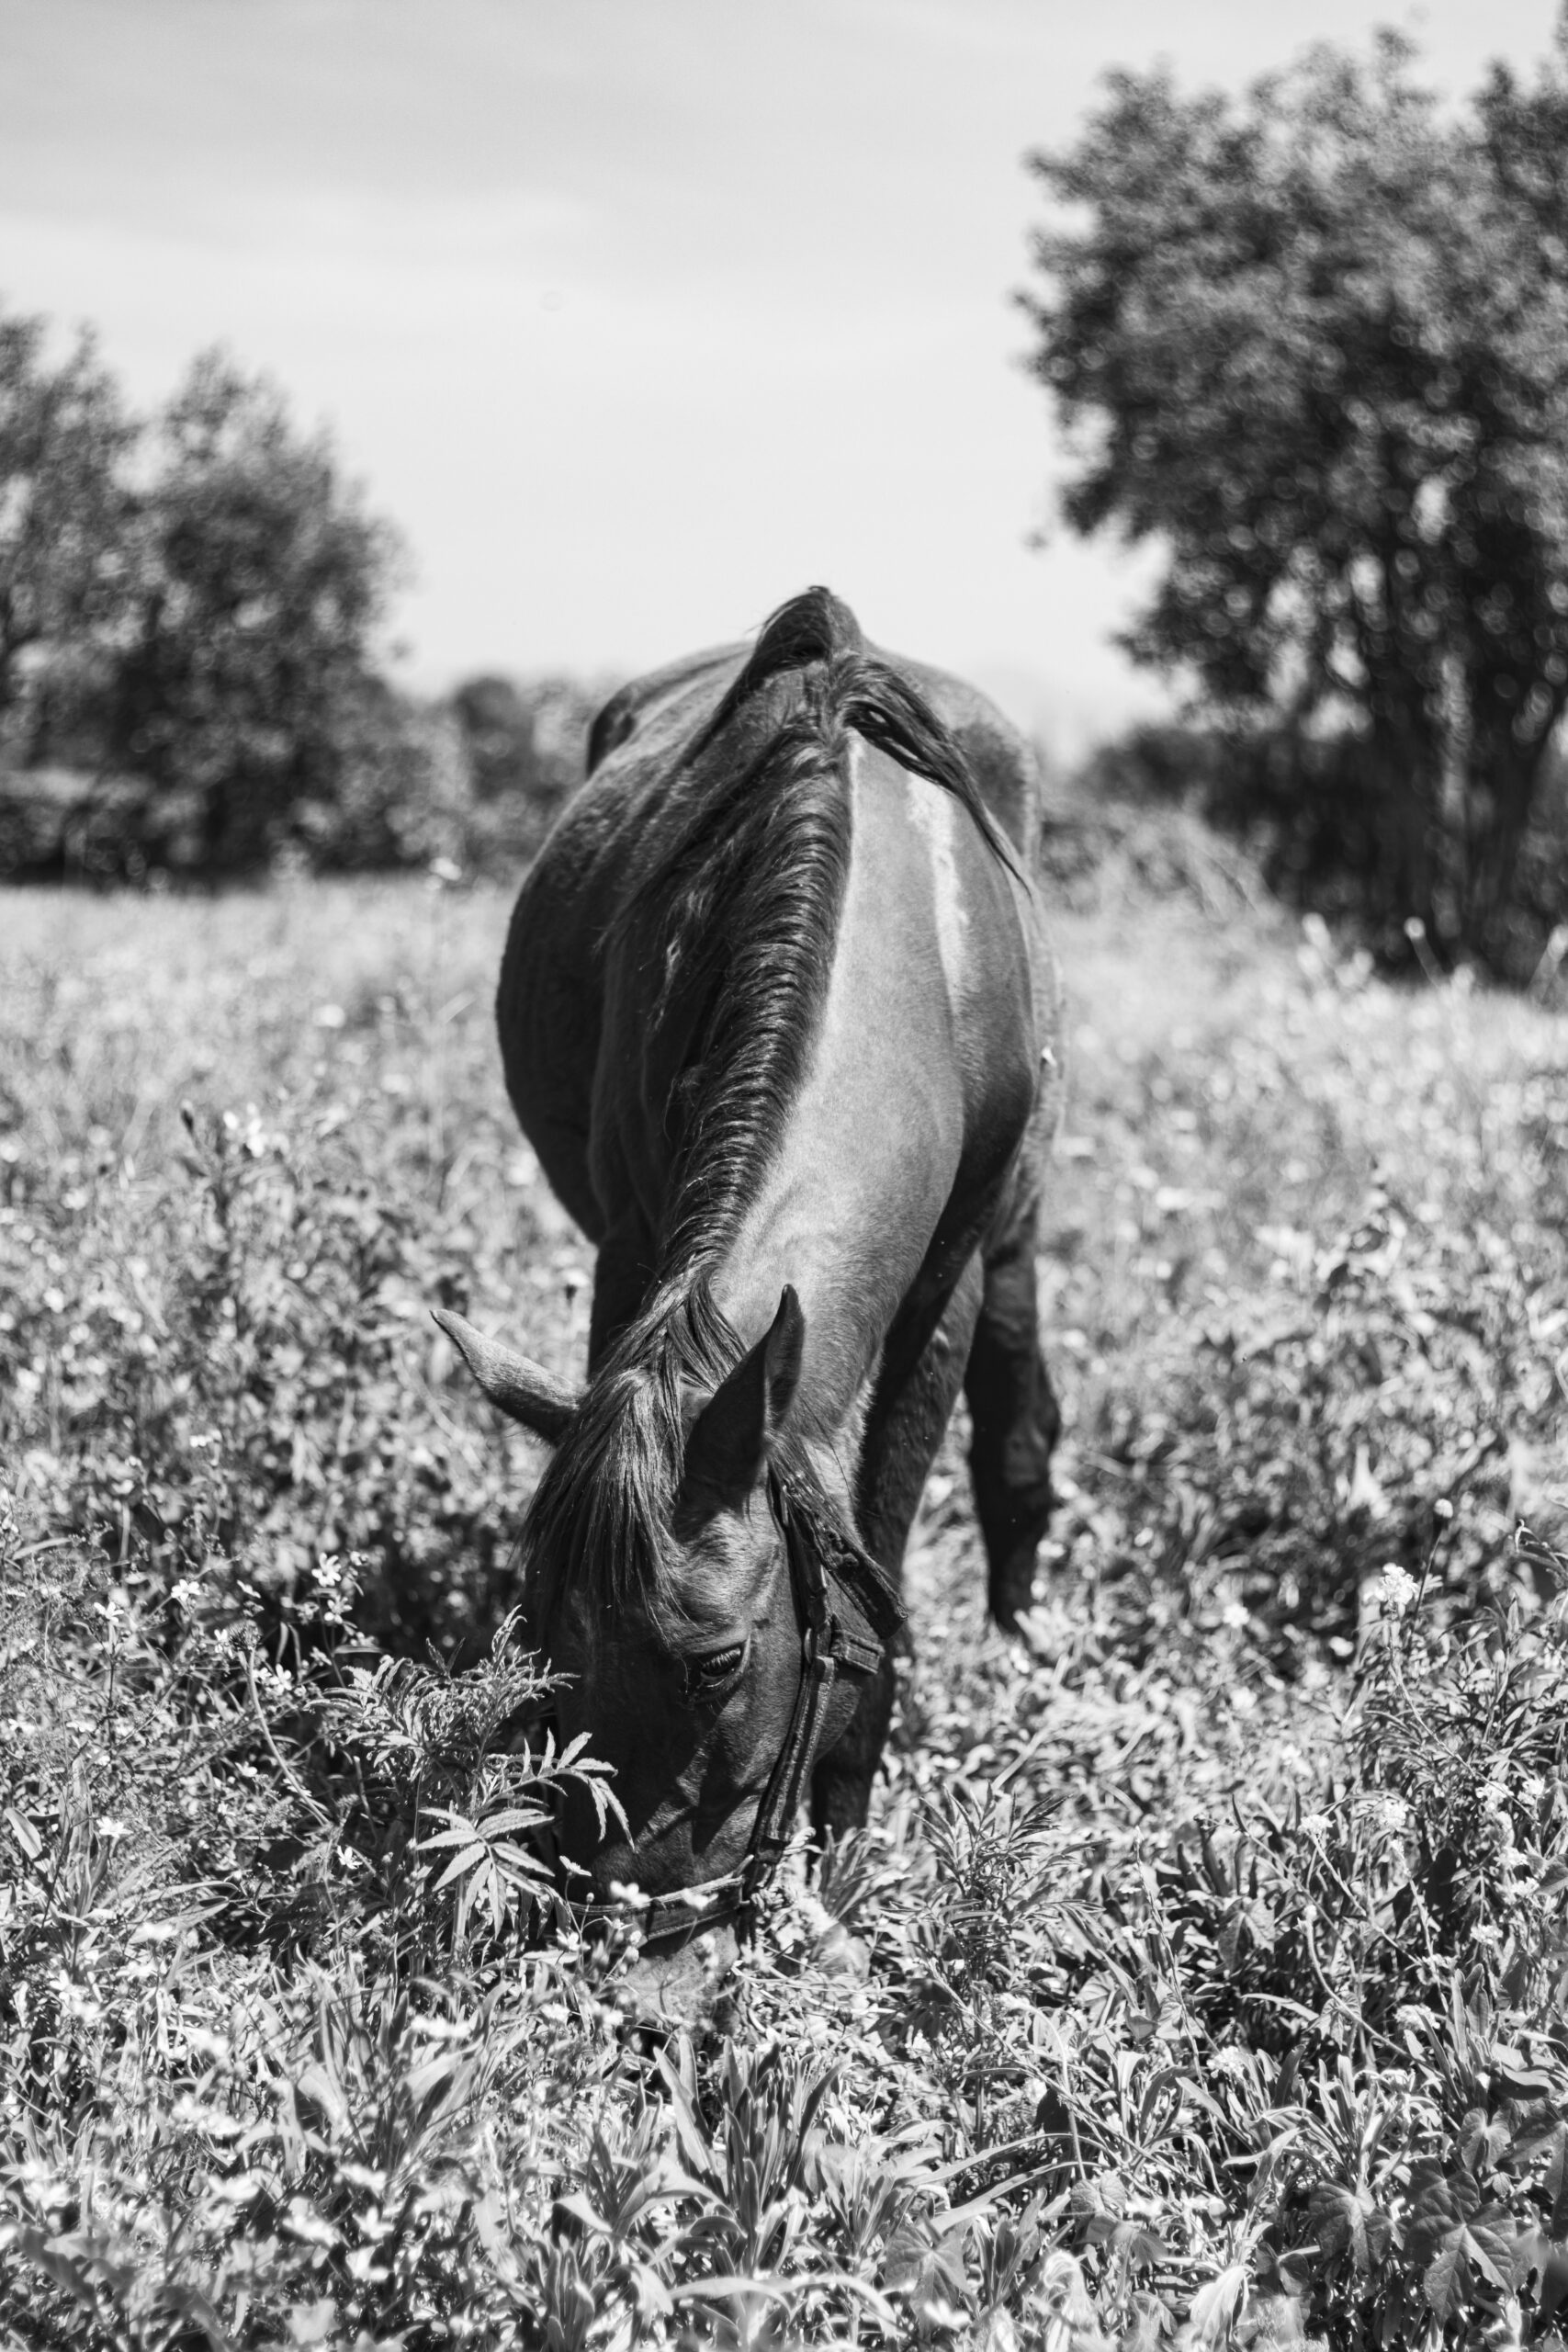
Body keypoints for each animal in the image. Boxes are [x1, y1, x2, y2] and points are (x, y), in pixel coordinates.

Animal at [434, 593, 1062, 2022]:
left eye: (718, 1661)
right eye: (536, 1632)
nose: (635, 1962)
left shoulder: (940, 1293)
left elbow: (880, 1577)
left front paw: (841, 1878)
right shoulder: (630, 1250)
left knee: (1019, 1420)